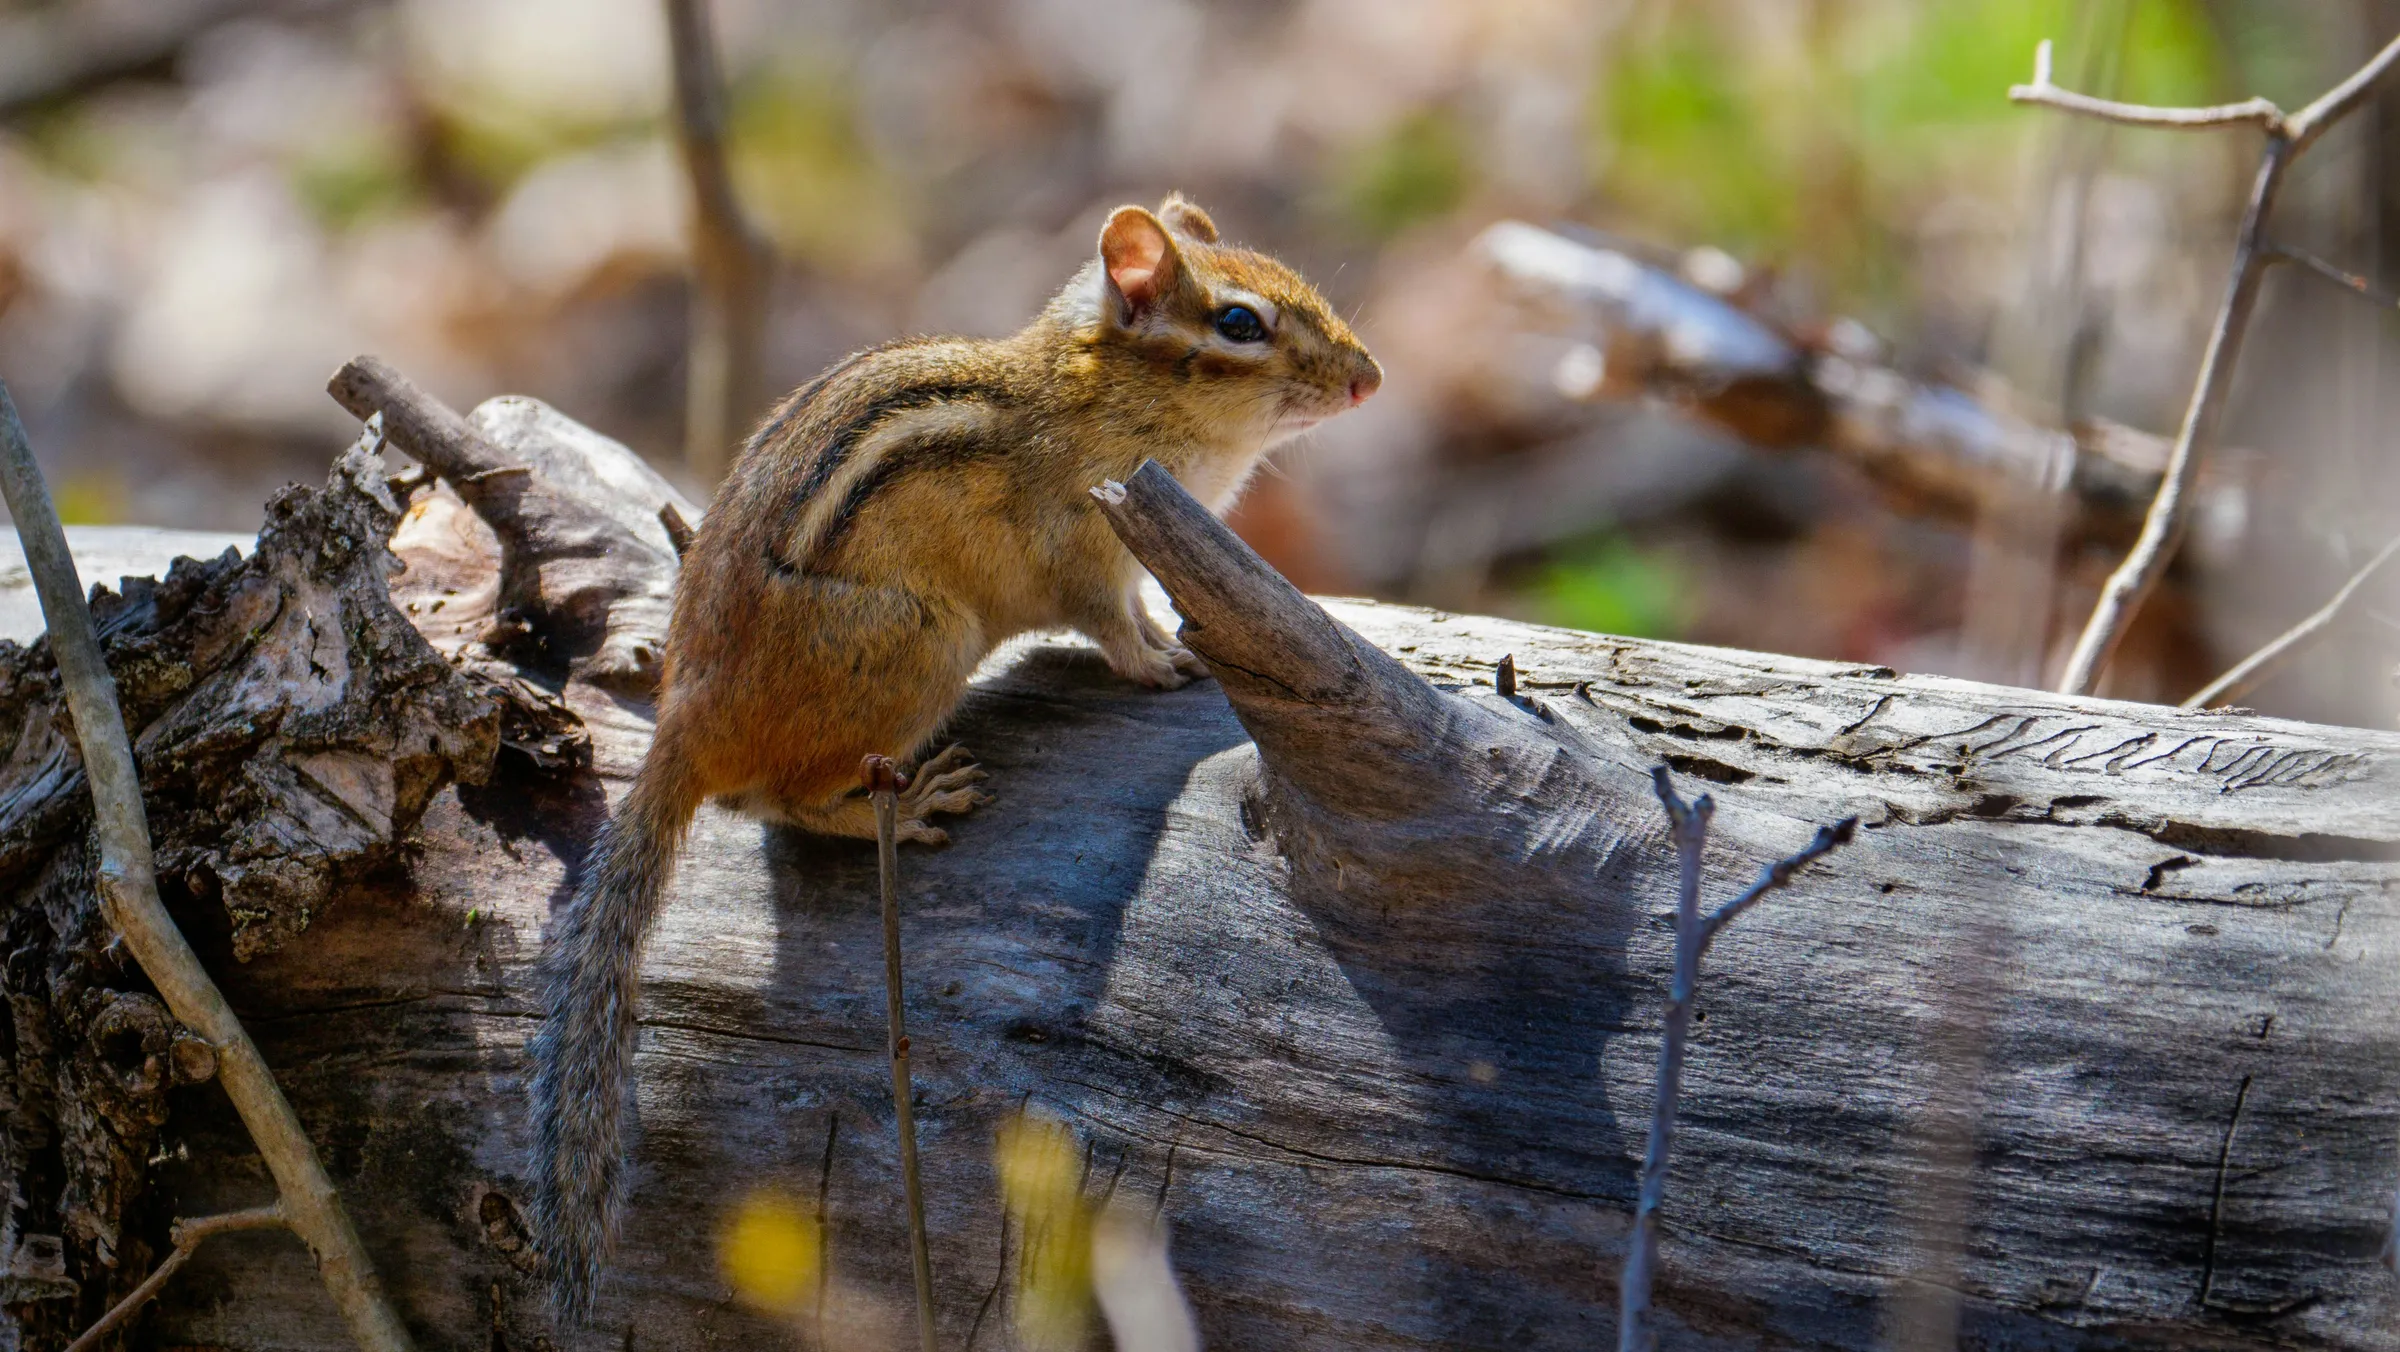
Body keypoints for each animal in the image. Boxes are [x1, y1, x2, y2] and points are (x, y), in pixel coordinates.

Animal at [526, 194, 1382, 1321]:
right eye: (1240, 323)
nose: (1371, 377)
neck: (1098, 392)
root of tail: (684, 720)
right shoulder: (1084, 542)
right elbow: (1111, 626)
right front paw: (1162, 664)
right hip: (924, 641)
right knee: (781, 798)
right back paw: (907, 802)